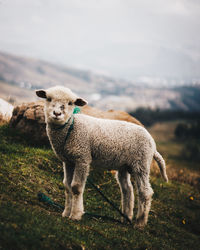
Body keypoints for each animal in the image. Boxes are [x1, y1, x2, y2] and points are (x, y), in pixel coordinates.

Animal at [35, 86, 167, 229]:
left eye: (70, 103)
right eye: (48, 99)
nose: (57, 113)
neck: (70, 128)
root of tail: (153, 144)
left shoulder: (82, 158)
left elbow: (76, 187)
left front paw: (75, 215)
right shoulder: (68, 161)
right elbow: (67, 186)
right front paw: (66, 213)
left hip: (141, 163)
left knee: (145, 192)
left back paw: (140, 223)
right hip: (124, 166)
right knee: (127, 189)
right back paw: (126, 217)